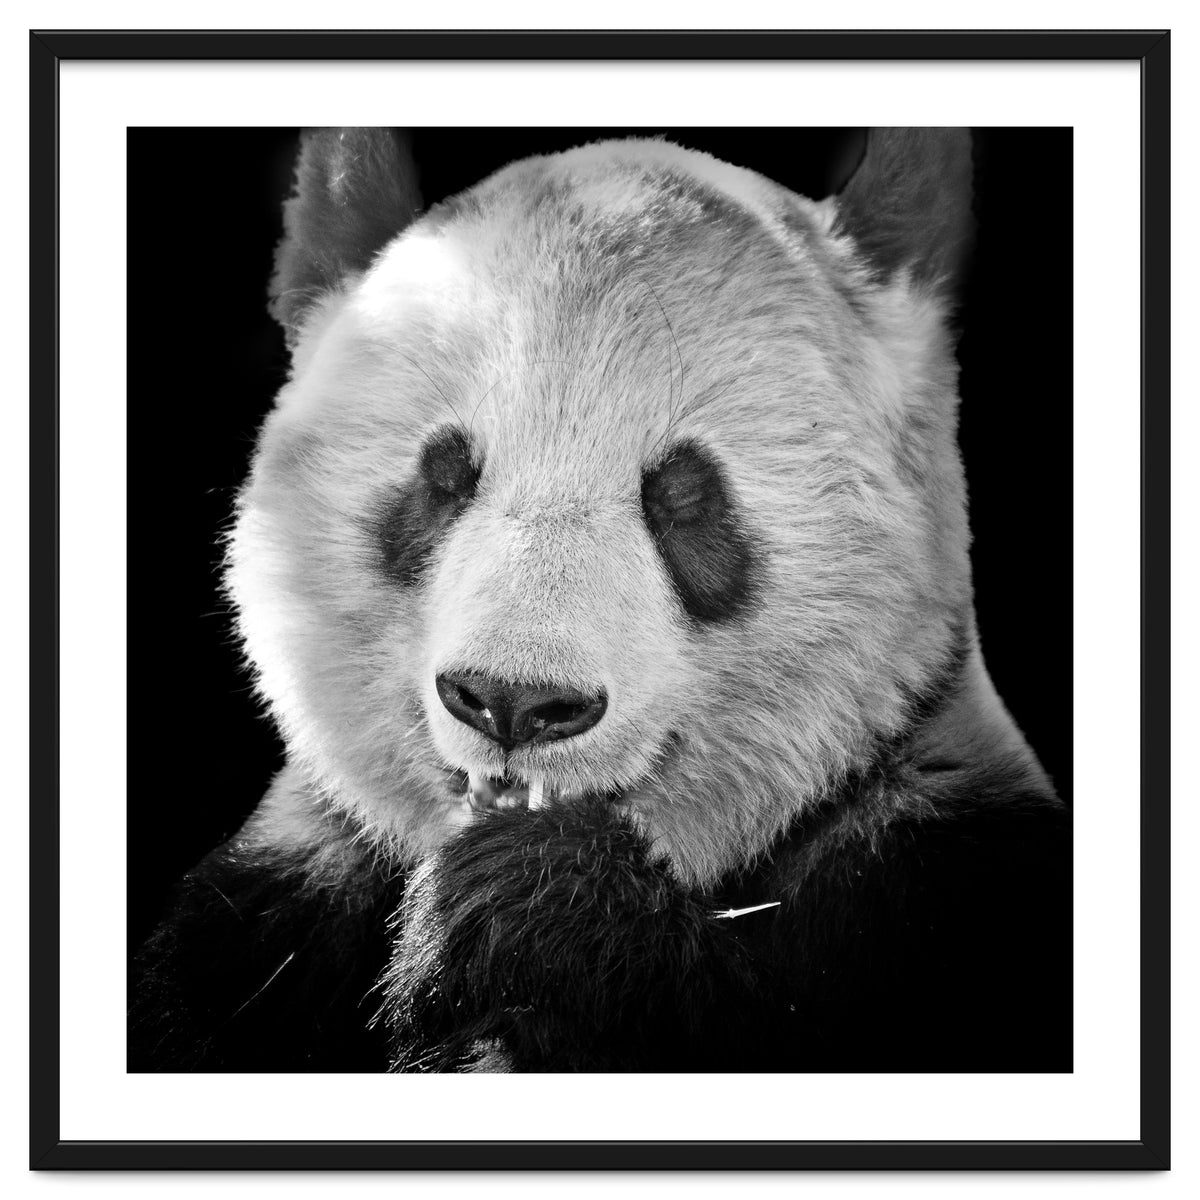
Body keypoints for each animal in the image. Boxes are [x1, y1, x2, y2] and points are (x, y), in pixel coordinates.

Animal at [129, 127, 1071, 1073]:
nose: (514, 701)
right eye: (444, 475)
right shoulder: (267, 916)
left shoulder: (936, 878)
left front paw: (533, 908)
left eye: (683, 496)